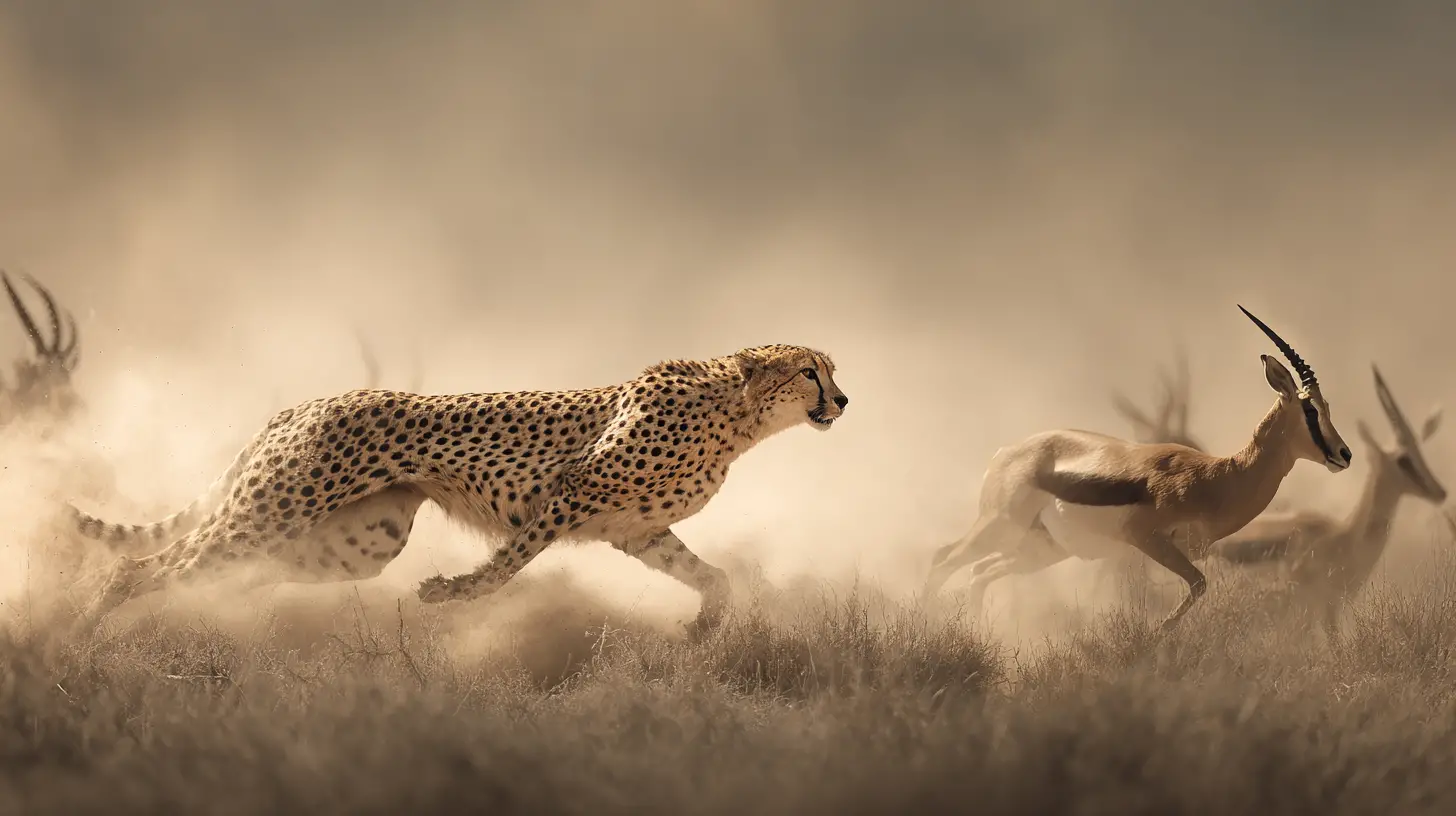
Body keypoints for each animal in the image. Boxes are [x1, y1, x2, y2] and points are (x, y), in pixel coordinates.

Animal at [66, 343, 849, 632]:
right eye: (809, 371)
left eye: (830, 371)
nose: (843, 401)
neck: (738, 418)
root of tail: (300, 406)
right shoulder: (567, 491)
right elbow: (508, 565)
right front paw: (451, 593)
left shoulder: (635, 531)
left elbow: (710, 573)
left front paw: (708, 622)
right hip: (273, 511)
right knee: (141, 566)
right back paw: (76, 635)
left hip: (354, 544)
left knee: (207, 572)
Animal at [923, 306, 1353, 631]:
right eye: (1310, 410)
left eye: (1327, 406)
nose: (1344, 454)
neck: (1219, 477)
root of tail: (1005, 453)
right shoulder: (1144, 538)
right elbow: (1197, 586)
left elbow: (1195, 587)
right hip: (999, 527)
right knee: (943, 559)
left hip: (1041, 549)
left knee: (979, 572)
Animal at [1210, 364, 1453, 637]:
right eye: (1403, 459)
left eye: (1419, 452)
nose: (1440, 491)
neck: (1345, 537)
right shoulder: (1318, 609)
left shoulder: (1328, 609)